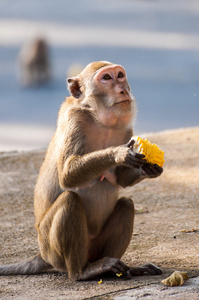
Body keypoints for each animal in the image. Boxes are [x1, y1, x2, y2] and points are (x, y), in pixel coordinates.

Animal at [0, 61, 163, 282]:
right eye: (106, 78)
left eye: (120, 75)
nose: (123, 89)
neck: (101, 120)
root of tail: (42, 254)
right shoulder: (74, 121)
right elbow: (67, 175)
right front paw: (119, 153)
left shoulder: (126, 129)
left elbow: (121, 179)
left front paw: (150, 168)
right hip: (52, 249)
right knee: (70, 200)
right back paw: (82, 272)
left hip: (94, 247)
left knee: (126, 204)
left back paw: (119, 269)